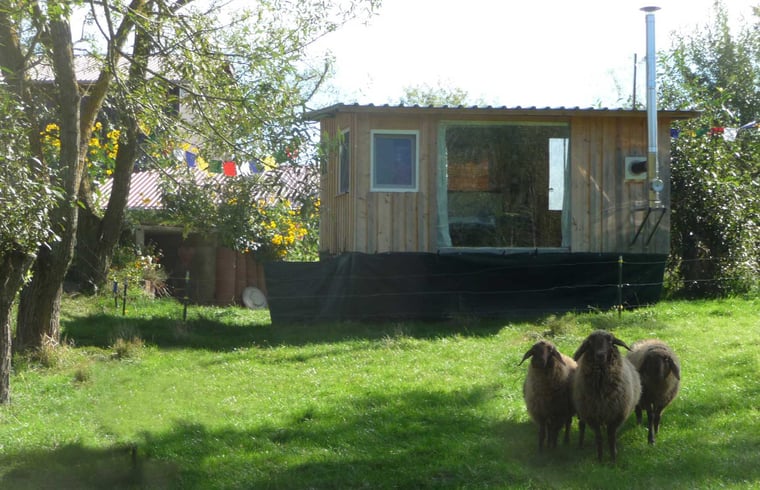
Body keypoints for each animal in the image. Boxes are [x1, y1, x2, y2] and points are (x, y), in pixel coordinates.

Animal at [572, 330, 641, 463]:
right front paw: (600, 459)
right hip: (582, 411)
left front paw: (613, 459)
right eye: (590, 342)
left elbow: (611, 438)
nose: (600, 355)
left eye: (610, 341)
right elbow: (599, 438)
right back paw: (580, 445)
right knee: (582, 426)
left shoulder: (615, 415)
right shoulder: (592, 416)